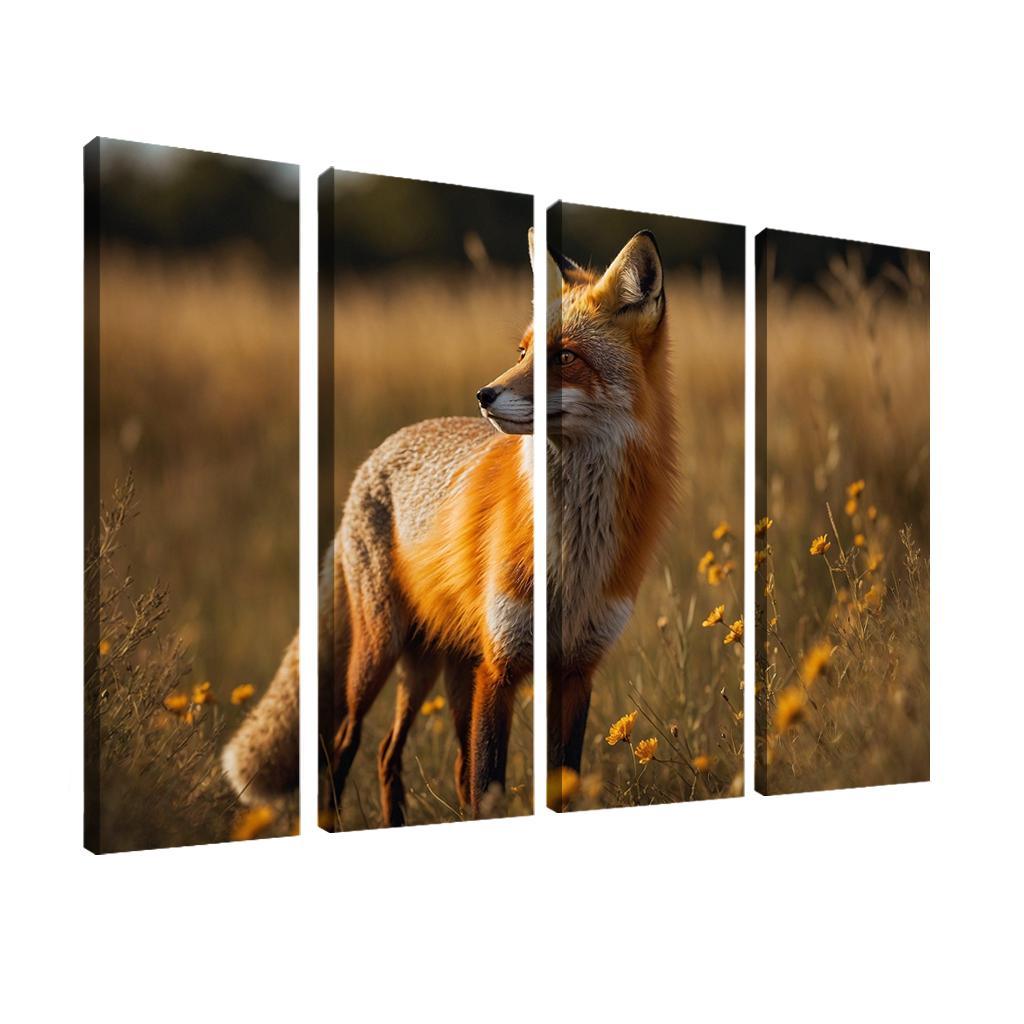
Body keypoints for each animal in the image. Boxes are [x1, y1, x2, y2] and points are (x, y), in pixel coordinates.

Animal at [221, 227, 676, 823]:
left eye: (564, 357)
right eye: (522, 352)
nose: (484, 394)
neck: (572, 550)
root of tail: (376, 455)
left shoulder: (577, 670)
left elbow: (556, 782)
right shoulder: (499, 667)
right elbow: (488, 782)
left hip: (441, 667)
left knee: (399, 756)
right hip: (382, 652)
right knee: (348, 744)